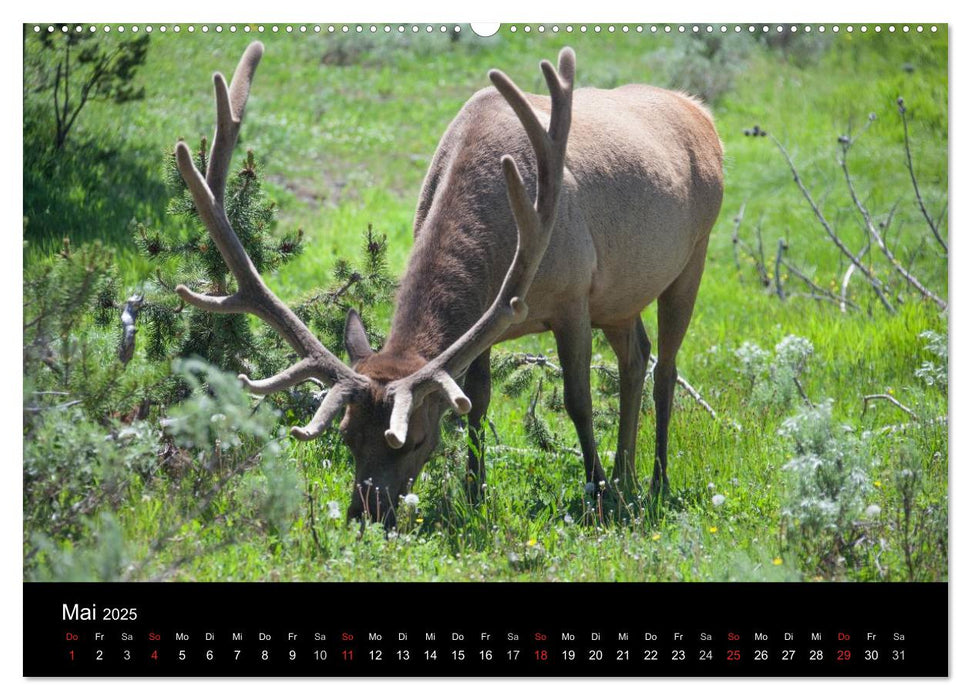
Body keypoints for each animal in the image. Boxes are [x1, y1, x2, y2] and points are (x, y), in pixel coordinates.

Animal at [173, 42, 720, 524]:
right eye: (347, 436)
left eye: (415, 439)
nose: (365, 514)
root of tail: (701, 111)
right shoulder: (491, 321)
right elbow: (476, 401)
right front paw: (476, 496)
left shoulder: (571, 297)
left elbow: (577, 401)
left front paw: (598, 493)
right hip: (620, 299)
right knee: (637, 357)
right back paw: (627, 474)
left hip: (693, 255)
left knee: (666, 370)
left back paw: (652, 482)